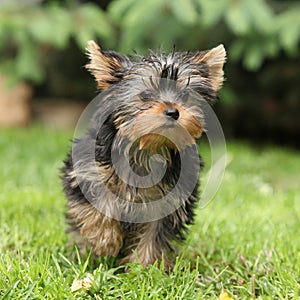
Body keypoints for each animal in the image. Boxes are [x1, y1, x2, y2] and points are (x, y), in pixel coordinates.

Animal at [61, 40, 225, 270]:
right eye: (146, 95)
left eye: (184, 96)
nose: (173, 112)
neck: (148, 148)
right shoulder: (87, 169)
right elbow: (99, 200)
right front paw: (105, 241)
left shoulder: (171, 198)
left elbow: (155, 232)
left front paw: (144, 267)